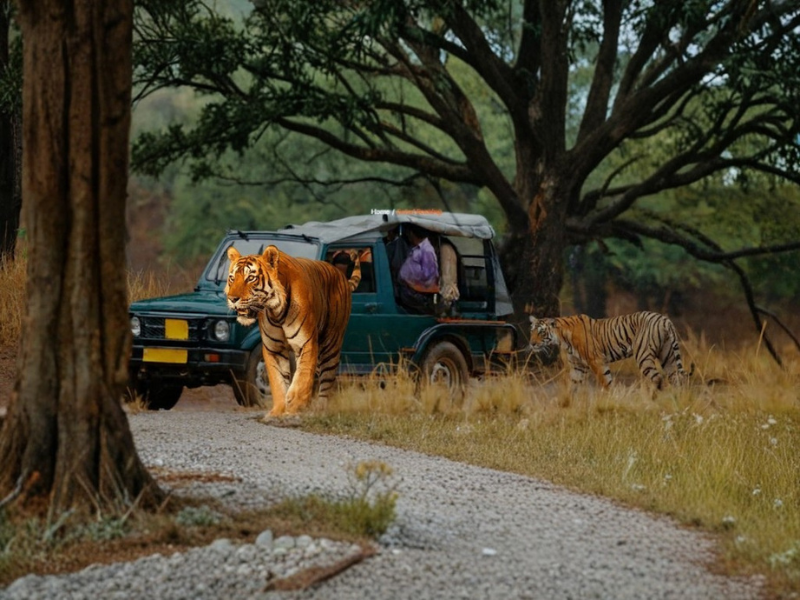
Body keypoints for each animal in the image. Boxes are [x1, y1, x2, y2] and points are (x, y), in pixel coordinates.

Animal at [225, 245, 360, 417]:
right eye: (232, 278)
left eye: (250, 278)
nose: (232, 299)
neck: (276, 312)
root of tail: (341, 275)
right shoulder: (274, 348)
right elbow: (278, 381)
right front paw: (278, 410)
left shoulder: (306, 343)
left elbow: (302, 376)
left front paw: (294, 403)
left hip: (331, 345)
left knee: (327, 380)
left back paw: (320, 409)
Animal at [528, 311, 693, 390]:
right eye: (532, 331)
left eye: (541, 332)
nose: (531, 343)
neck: (562, 337)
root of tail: (665, 320)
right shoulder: (577, 366)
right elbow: (573, 386)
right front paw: (568, 405)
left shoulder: (596, 360)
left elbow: (606, 382)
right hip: (667, 355)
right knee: (676, 378)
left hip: (643, 354)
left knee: (657, 378)